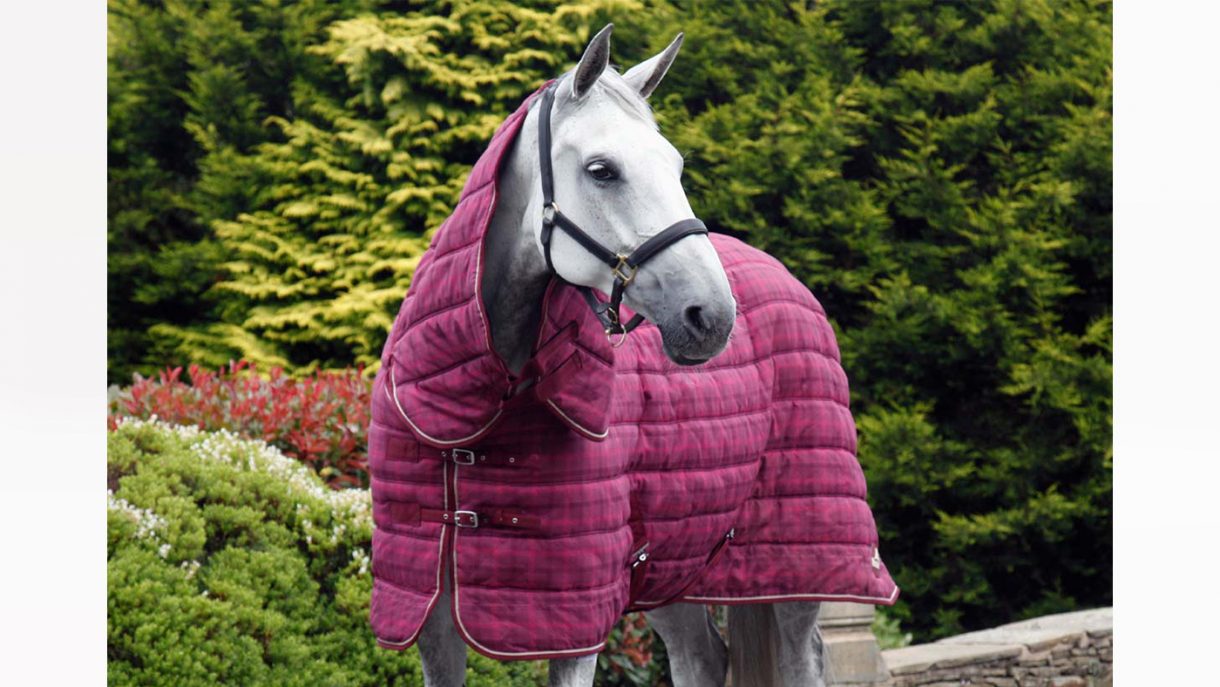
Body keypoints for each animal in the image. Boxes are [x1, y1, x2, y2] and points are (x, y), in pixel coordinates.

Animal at [367, 23, 896, 687]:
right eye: (602, 169)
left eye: (675, 165)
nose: (712, 316)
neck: (475, 416)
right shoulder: (431, 622)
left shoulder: (573, 625)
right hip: (672, 562)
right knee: (702, 656)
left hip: (798, 561)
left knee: (804, 657)